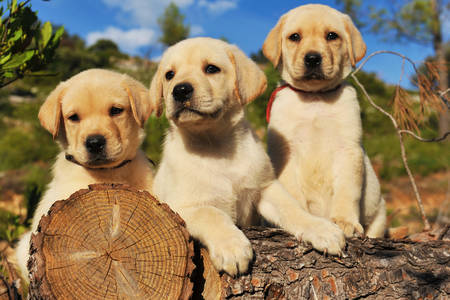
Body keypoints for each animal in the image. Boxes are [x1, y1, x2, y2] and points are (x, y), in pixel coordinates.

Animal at [150, 38, 344, 276]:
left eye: (211, 69)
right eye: (169, 75)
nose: (180, 90)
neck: (217, 147)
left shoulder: (265, 187)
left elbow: (292, 208)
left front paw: (320, 228)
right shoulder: (182, 205)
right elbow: (212, 214)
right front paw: (231, 247)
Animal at [264, 4, 386, 239]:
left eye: (332, 36)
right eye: (295, 37)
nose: (312, 58)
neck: (315, 99)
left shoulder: (348, 149)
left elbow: (347, 191)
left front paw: (344, 221)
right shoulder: (285, 151)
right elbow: (293, 194)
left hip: (380, 216)